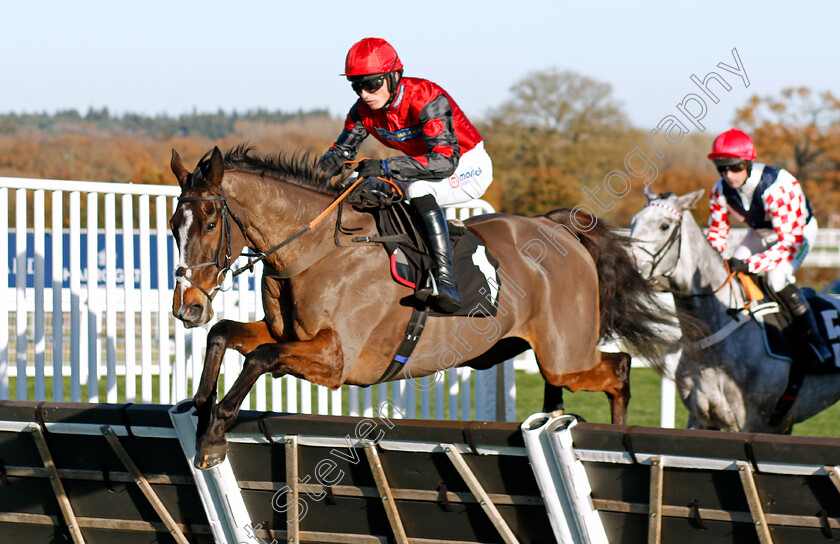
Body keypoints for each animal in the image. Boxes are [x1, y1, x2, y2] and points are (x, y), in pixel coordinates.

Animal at [172, 144, 676, 468]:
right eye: (175, 223)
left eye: (211, 222)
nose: (187, 308)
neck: (315, 250)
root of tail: (560, 227)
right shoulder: (287, 336)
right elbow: (226, 334)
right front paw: (200, 405)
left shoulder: (336, 361)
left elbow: (259, 357)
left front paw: (214, 434)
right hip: (530, 350)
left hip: (566, 356)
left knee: (619, 369)